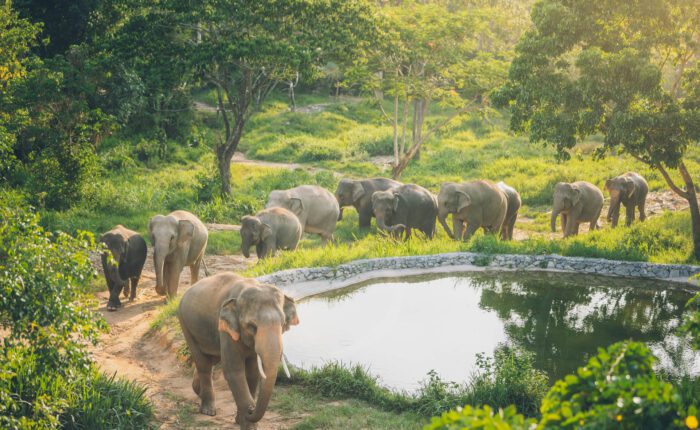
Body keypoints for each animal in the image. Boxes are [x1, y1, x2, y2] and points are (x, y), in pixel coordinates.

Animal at [178, 272, 298, 430]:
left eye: (283, 323)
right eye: (252, 326)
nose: (251, 409)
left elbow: (253, 373)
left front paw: (240, 419)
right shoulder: (226, 330)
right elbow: (234, 372)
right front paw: (248, 424)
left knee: (212, 359)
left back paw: (197, 390)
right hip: (185, 324)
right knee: (203, 363)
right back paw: (208, 411)